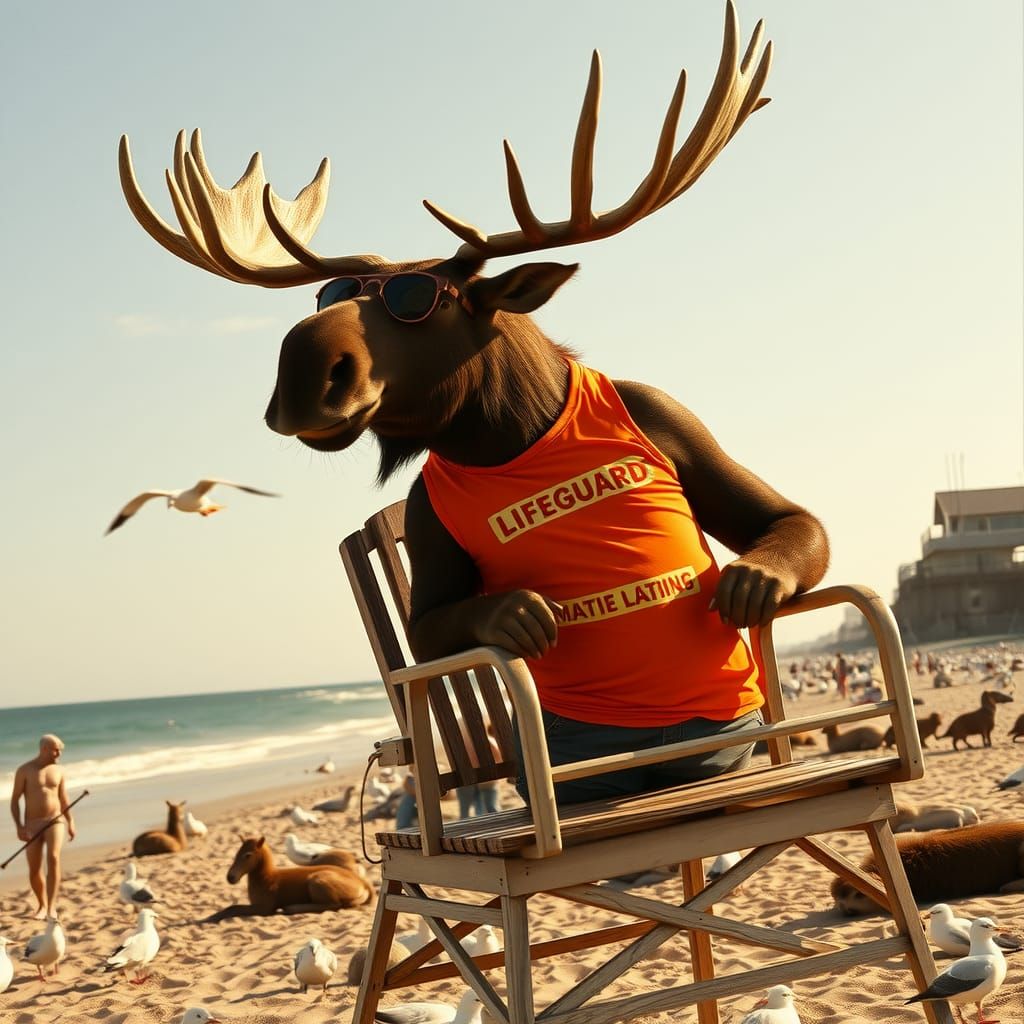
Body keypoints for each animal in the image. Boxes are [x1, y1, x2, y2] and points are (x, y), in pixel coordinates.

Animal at [119, 3, 829, 804]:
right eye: (332, 295)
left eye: (422, 300)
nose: (302, 373)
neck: (518, 431)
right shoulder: (423, 515)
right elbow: (436, 617)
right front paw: (516, 612)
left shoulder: (667, 413)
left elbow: (783, 517)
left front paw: (751, 579)